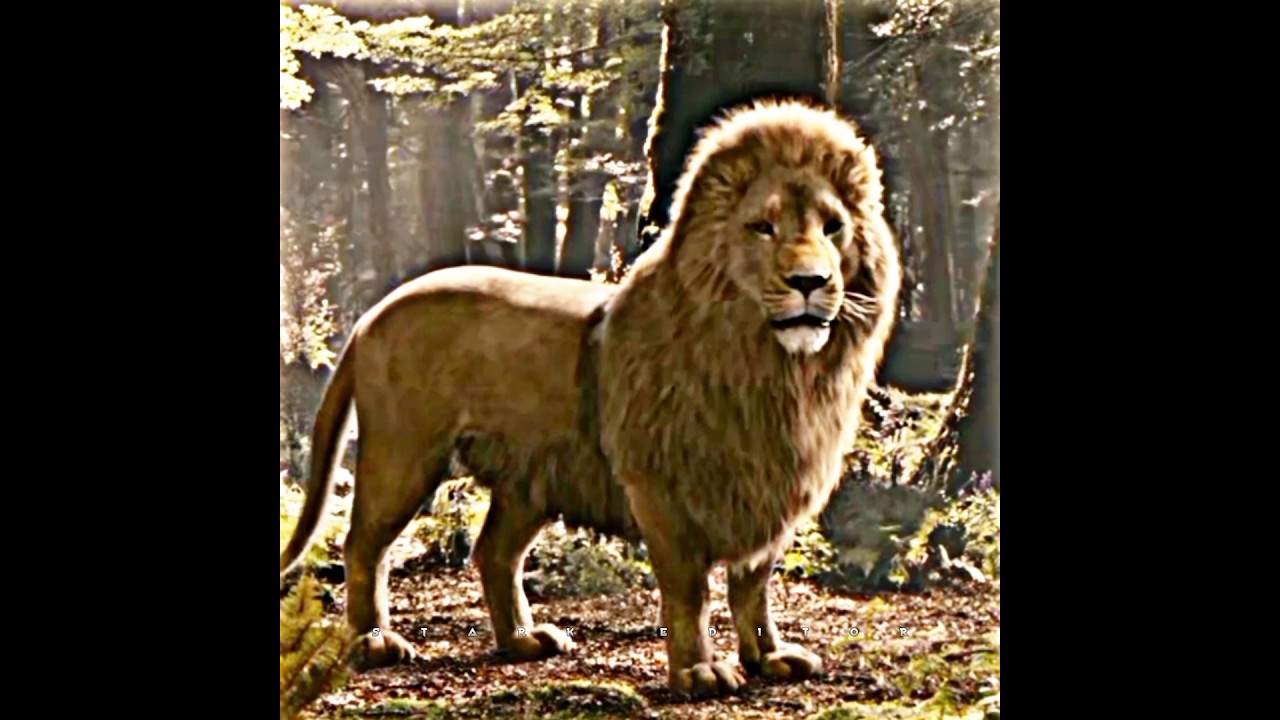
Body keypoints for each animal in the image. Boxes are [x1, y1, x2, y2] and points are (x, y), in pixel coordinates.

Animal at [279, 97, 900, 698]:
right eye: (763, 227)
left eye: (834, 227)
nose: (811, 282)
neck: (770, 368)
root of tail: (371, 316)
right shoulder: (663, 487)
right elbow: (691, 589)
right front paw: (699, 672)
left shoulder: (769, 485)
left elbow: (753, 588)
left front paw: (769, 658)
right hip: (403, 455)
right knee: (362, 545)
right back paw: (373, 642)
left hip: (528, 479)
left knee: (493, 552)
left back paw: (523, 640)